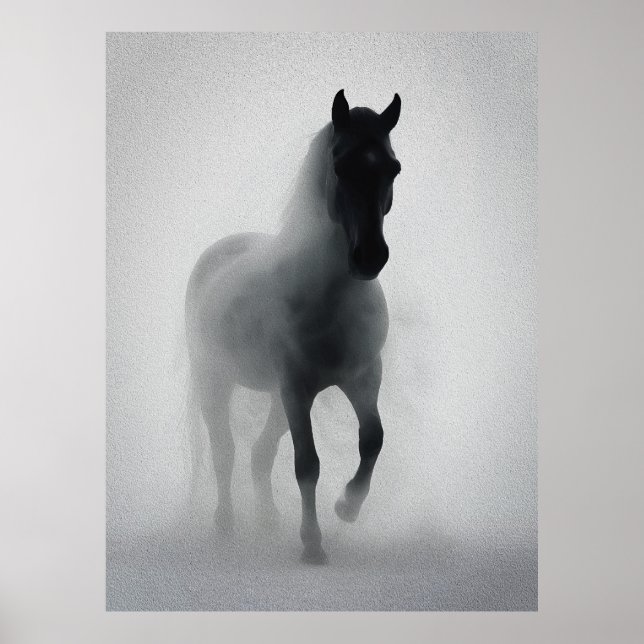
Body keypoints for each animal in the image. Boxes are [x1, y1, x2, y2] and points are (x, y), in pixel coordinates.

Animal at [185, 89, 402, 564]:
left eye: (392, 167)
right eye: (340, 165)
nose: (369, 257)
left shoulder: (362, 378)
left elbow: (373, 440)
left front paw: (347, 507)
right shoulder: (297, 386)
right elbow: (307, 465)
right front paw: (313, 544)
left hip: (276, 398)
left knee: (260, 454)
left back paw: (268, 520)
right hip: (217, 380)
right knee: (226, 452)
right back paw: (225, 523)